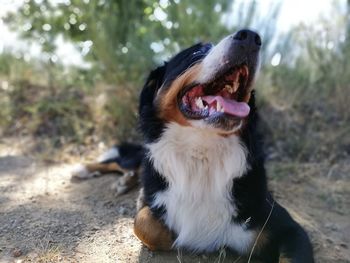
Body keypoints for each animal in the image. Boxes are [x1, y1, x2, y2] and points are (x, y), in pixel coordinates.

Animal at [72, 29, 314, 262]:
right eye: (196, 52)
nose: (251, 37)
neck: (201, 152)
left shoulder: (288, 228)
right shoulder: (152, 204)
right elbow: (143, 222)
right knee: (120, 162)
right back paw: (85, 169)